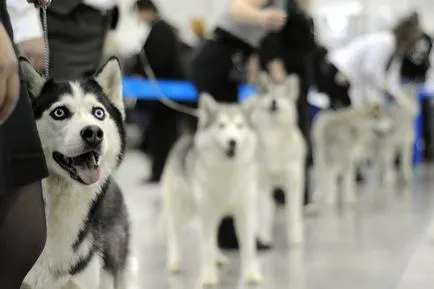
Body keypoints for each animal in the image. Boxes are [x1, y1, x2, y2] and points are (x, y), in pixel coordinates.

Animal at [160, 93, 260, 284]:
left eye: (239, 126)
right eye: (221, 126)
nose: (232, 142)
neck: (227, 172)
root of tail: (185, 138)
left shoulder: (245, 213)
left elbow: (248, 247)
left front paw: (252, 274)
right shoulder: (207, 213)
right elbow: (205, 248)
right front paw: (208, 278)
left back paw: (218, 257)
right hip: (182, 208)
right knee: (174, 233)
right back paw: (174, 261)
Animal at [253, 73, 306, 246]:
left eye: (281, 95)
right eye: (269, 94)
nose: (274, 101)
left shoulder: (293, 183)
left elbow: (293, 214)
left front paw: (295, 238)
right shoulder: (263, 184)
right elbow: (263, 213)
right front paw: (263, 238)